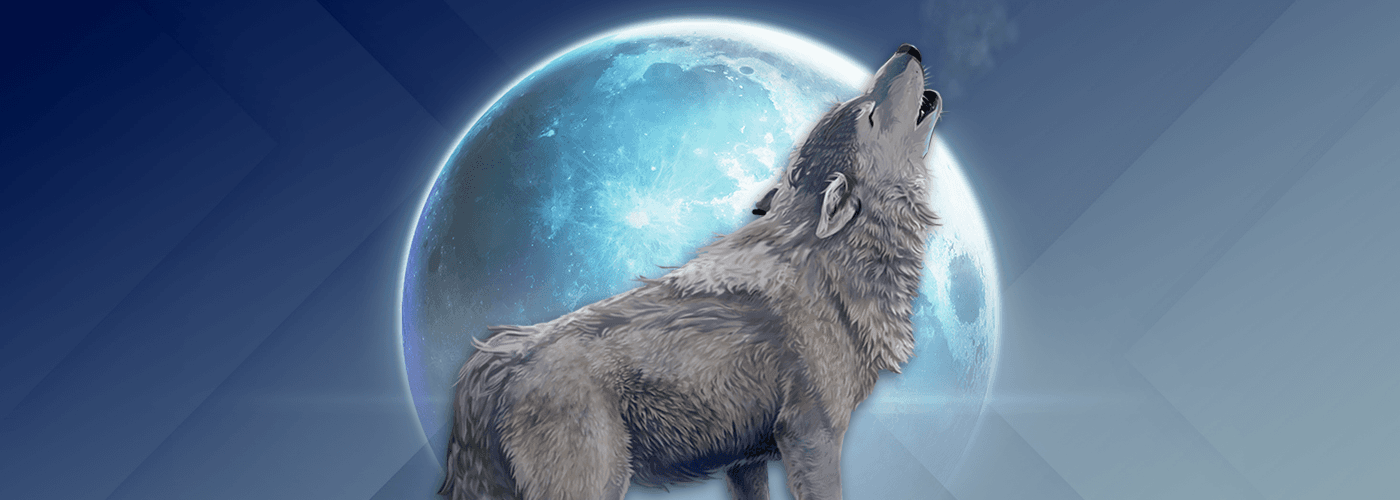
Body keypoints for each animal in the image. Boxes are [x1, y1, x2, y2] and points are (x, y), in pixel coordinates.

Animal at [441, 43, 942, 500]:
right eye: (868, 114)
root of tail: (497, 359)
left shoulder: (746, 461)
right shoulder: (812, 436)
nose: (908, 48)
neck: (833, 268)